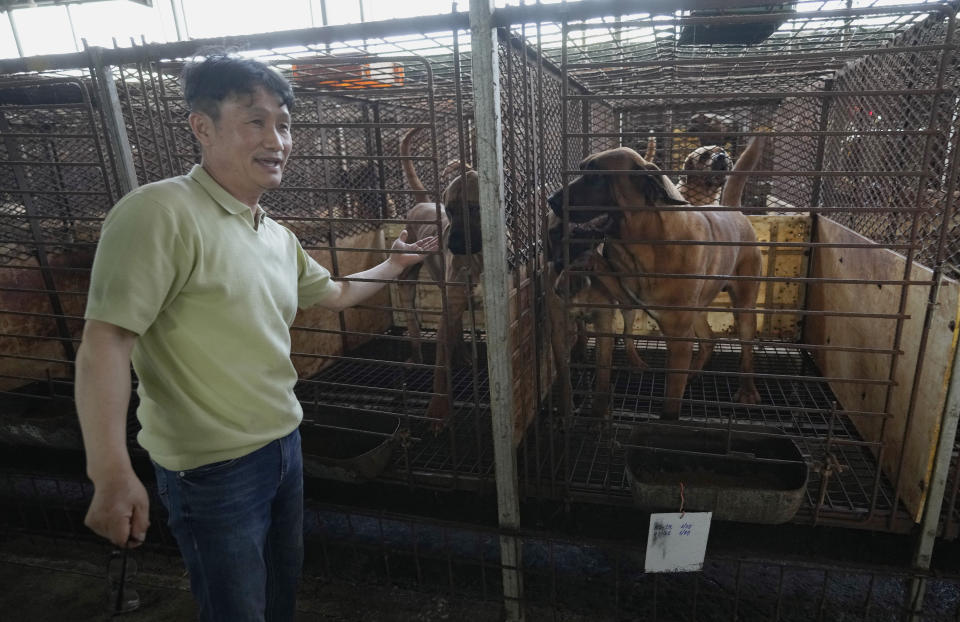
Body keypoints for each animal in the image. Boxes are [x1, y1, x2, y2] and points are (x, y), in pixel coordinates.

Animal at [398, 130, 484, 426]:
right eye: (448, 210)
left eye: (474, 209)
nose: (452, 244)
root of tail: (423, 201)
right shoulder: (448, 313)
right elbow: (440, 367)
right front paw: (438, 409)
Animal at [552, 144, 760, 422]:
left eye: (596, 177)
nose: (551, 201)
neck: (645, 246)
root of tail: (734, 211)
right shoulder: (626, 294)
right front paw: (577, 264)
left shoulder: (679, 337)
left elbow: (671, 401)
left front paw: (667, 422)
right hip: (696, 310)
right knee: (708, 340)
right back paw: (694, 372)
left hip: (744, 308)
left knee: (746, 350)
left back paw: (747, 389)